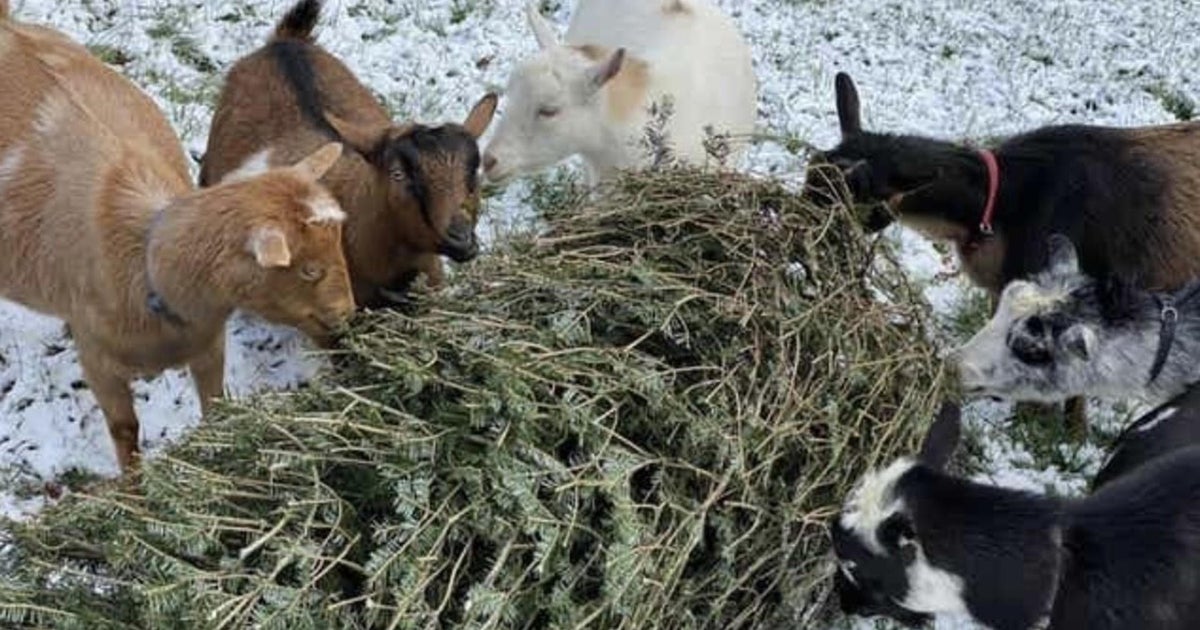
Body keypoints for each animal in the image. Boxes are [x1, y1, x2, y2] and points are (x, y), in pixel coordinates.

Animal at [0, 4, 355, 472]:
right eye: (308, 269)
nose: (349, 313)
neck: (148, 265)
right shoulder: (98, 362)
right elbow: (126, 431)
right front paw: (135, 488)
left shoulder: (208, 343)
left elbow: (215, 405)